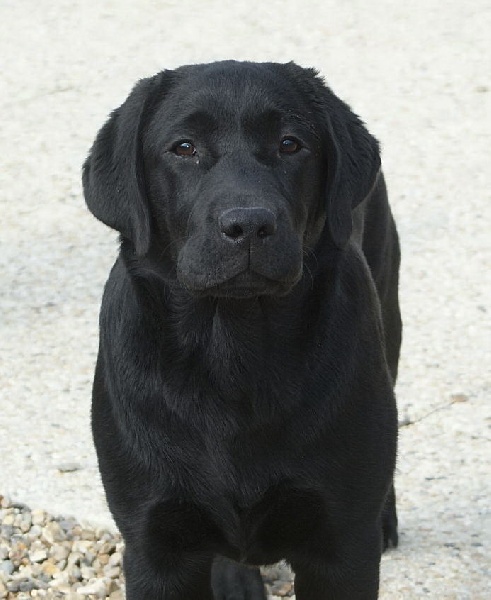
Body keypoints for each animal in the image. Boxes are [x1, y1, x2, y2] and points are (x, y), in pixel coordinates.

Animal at [82, 62, 402, 600]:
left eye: (291, 144)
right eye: (184, 147)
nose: (249, 225)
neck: (232, 354)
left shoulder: (341, 546)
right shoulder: (155, 544)